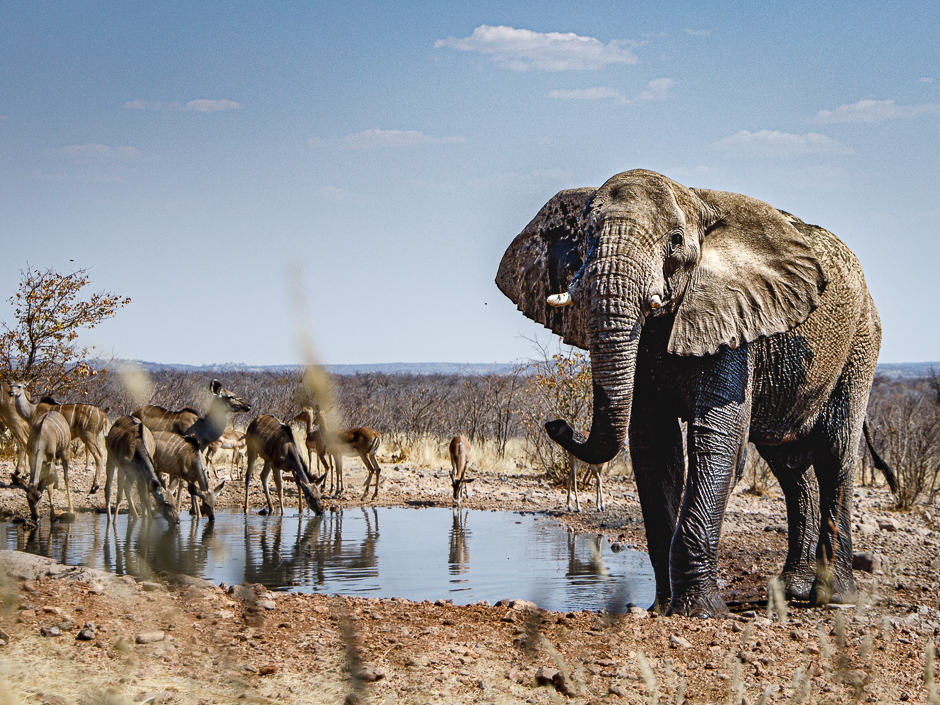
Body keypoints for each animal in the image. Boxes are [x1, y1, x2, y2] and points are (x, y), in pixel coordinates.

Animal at [500, 169, 888, 616]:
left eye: (675, 241)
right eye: (582, 238)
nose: (556, 424)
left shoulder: (735, 320)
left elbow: (718, 441)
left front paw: (698, 611)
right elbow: (655, 446)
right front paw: (662, 609)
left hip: (861, 340)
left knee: (834, 452)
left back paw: (832, 598)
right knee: (790, 466)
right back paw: (792, 590)